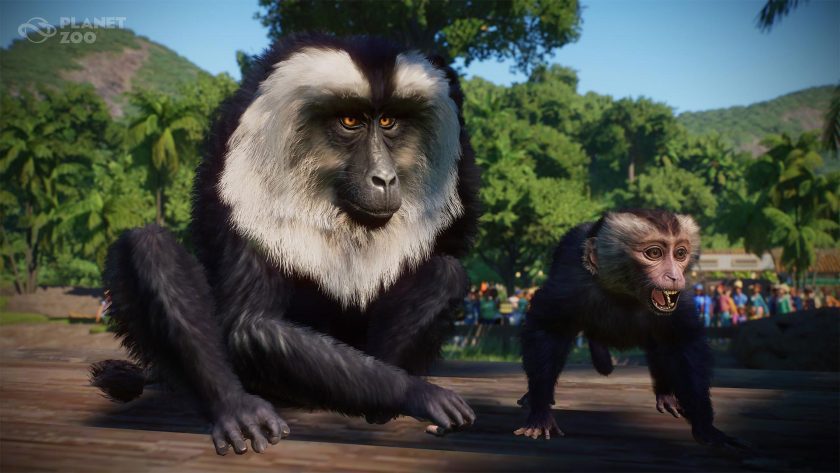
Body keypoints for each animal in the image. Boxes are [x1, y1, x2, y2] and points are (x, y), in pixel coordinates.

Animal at [90, 34, 480, 455]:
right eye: (350, 122)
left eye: (389, 122)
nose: (385, 178)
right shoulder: (248, 192)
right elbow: (251, 325)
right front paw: (416, 393)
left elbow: (445, 265)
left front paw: (393, 401)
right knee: (149, 247)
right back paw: (235, 407)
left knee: (445, 273)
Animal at [513, 209, 745, 449]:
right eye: (654, 253)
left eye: (680, 253)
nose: (674, 276)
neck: (626, 293)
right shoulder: (571, 281)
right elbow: (547, 330)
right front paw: (540, 411)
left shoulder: (680, 302)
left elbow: (684, 344)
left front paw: (704, 424)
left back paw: (665, 394)